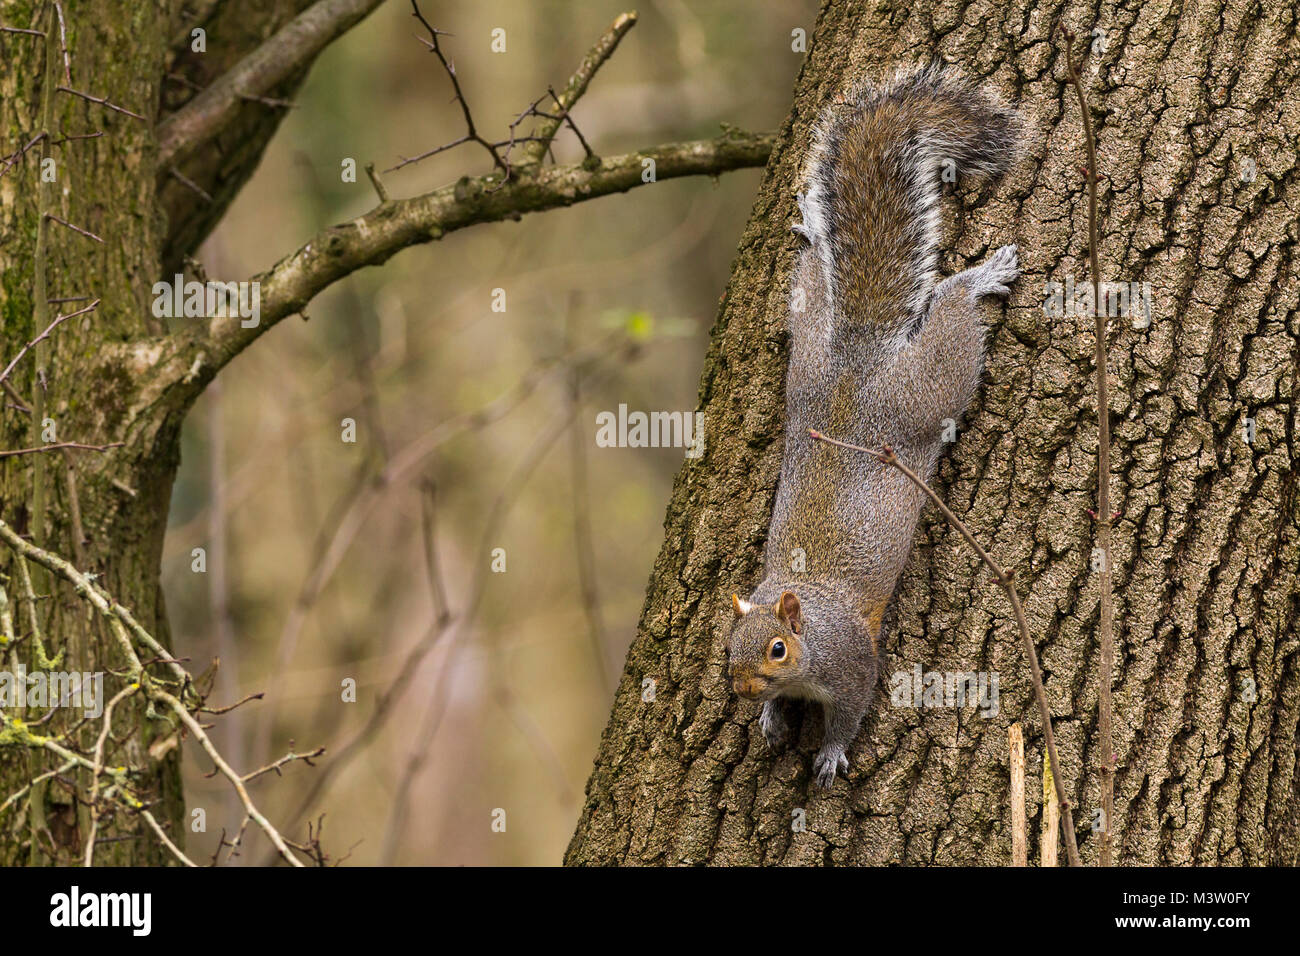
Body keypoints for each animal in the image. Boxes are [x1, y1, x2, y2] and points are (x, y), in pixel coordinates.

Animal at [728, 63, 1019, 790]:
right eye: (727, 646)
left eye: (778, 648)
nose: (743, 690)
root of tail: (859, 356)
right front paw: (771, 718)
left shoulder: (853, 662)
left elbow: (852, 710)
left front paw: (829, 752)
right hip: (808, 346)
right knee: (816, 281)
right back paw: (812, 226)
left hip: (927, 389)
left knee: (951, 321)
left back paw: (979, 278)